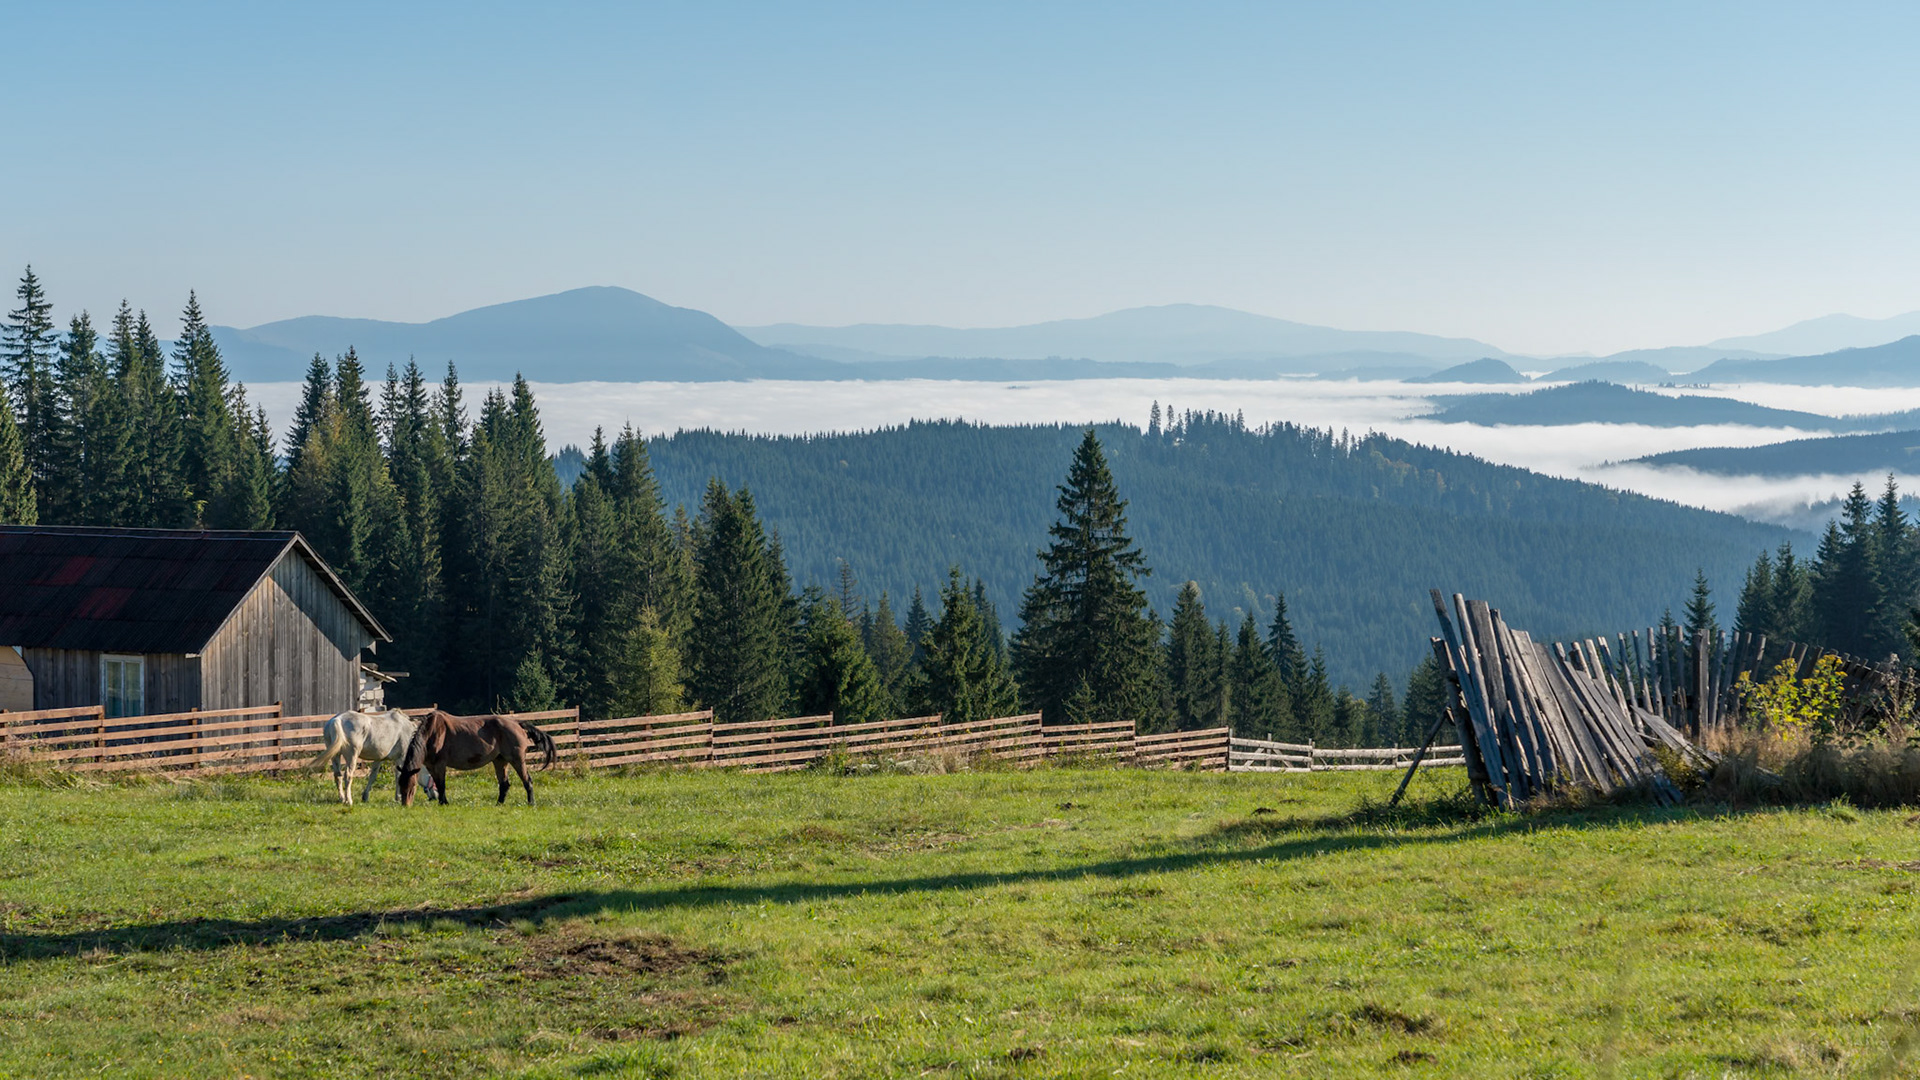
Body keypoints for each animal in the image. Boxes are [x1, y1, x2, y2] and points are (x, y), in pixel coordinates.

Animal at [398, 710, 557, 806]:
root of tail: (517, 724)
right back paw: (499, 804)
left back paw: (531, 803)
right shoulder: (431, 766)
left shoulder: (440, 765)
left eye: (412, 787)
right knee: (504, 784)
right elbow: (437, 783)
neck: (432, 733)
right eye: (400, 786)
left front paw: (444, 803)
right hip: (500, 761)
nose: (405, 805)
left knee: (527, 781)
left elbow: (442, 785)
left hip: (517, 760)